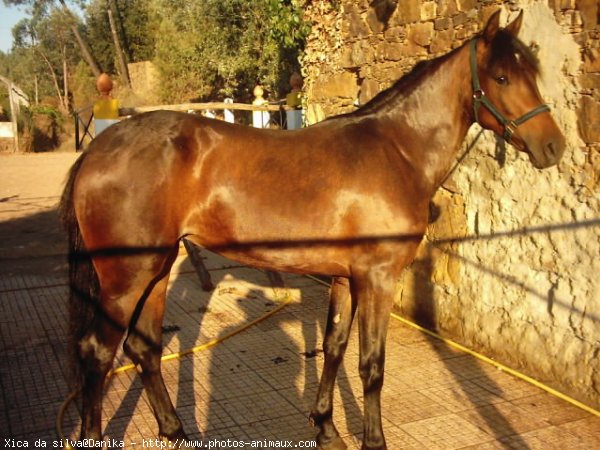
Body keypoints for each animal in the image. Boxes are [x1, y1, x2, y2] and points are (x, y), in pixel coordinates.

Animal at [61, 10, 568, 450]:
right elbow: (371, 364)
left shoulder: (345, 278)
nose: (553, 147)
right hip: (126, 278)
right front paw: (372, 441)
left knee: (143, 348)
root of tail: (99, 149)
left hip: (159, 267)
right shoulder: (378, 279)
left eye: (531, 73)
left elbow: (334, 347)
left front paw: (325, 427)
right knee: (98, 353)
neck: (397, 149)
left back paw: (176, 431)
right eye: (501, 78)